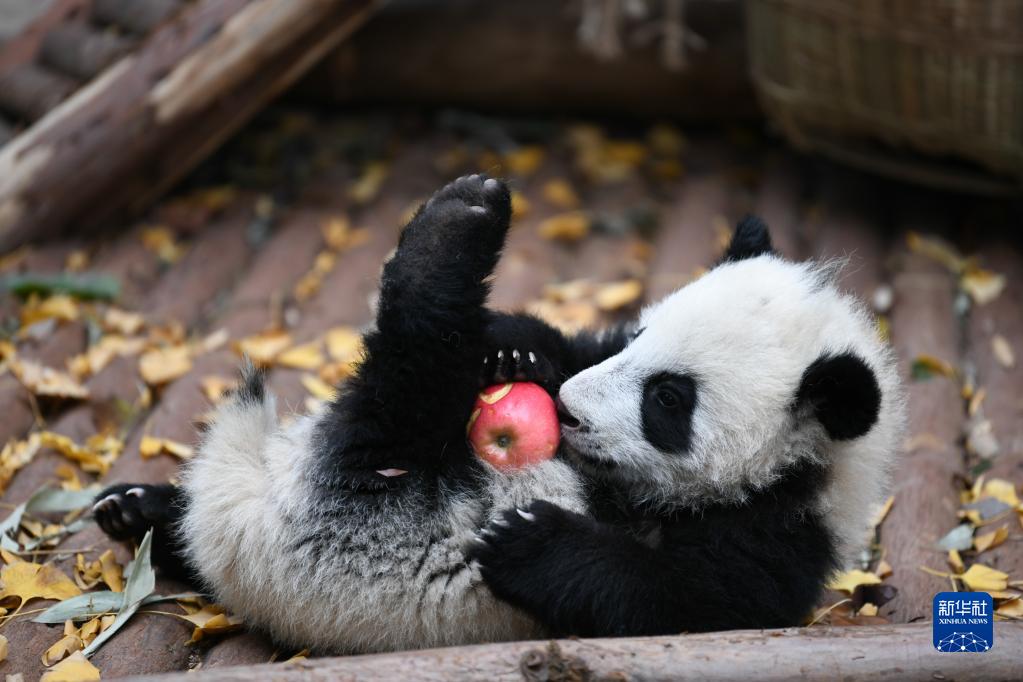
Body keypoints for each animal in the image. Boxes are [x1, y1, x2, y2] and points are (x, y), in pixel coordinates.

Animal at [94, 174, 904, 650]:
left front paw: (529, 540)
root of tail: (238, 532)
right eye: (637, 337)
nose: (567, 413)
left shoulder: (774, 537)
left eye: (668, 401)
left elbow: (669, 599)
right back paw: (138, 509)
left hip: (359, 504)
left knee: (403, 389)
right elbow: (559, 343)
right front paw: (517, 356)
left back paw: (451, 234)